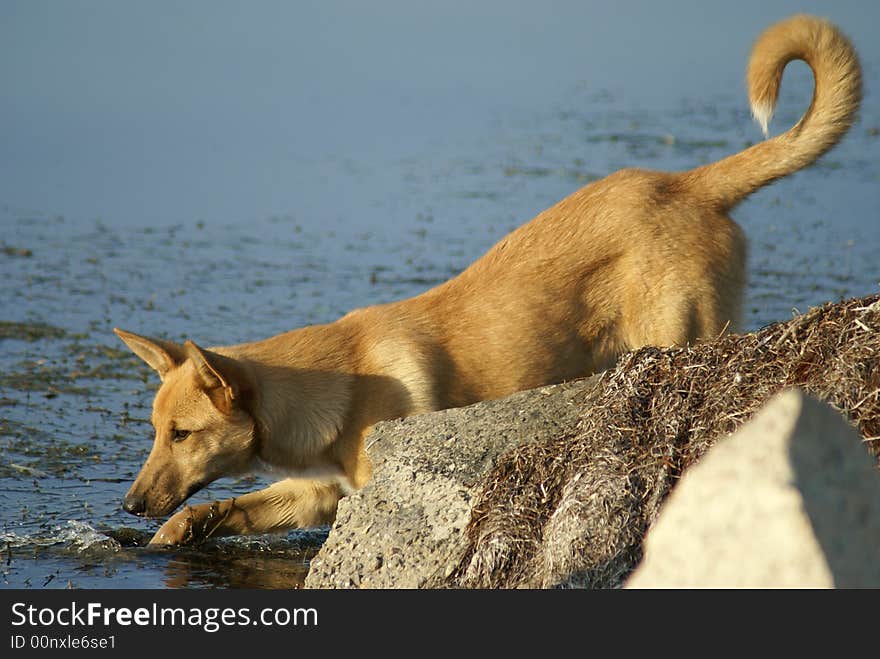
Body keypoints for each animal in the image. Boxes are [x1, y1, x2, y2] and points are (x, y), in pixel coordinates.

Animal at [115, 14, 860, 548]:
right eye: (154, 430)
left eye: (181, 434)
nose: (129, 502)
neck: (338, 386)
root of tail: (687, 183)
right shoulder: (317, 494)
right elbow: (224, 509)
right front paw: (164, 536)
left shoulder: (365, 493)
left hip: (686, 336)